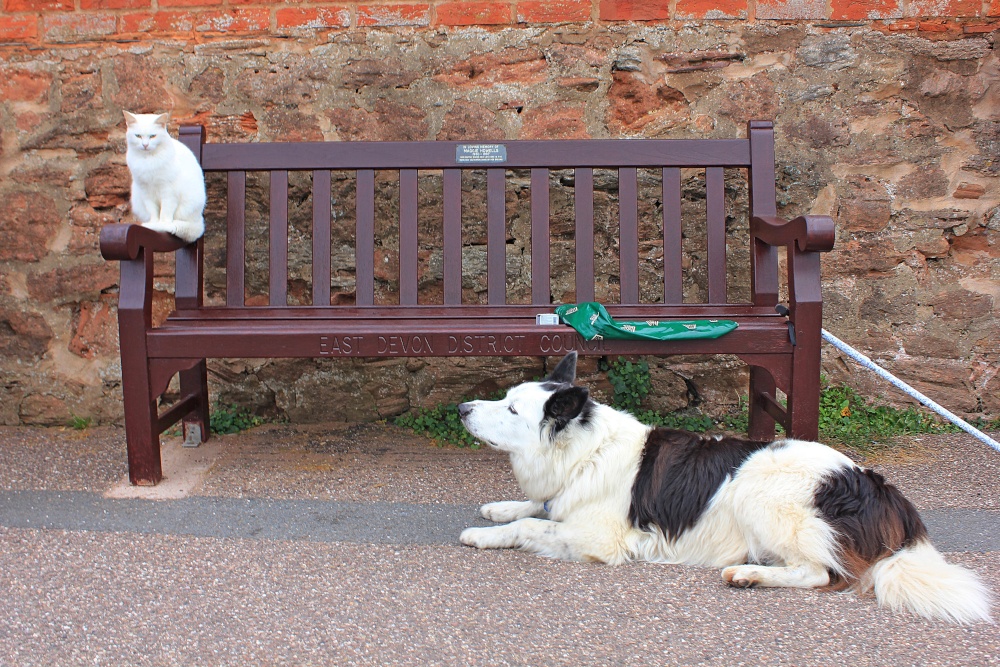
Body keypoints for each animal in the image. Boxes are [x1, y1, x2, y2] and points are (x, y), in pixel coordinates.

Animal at [125, 111, 207, 244]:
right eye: (138, 136)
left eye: (153, 136)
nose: (145, 145)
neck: (148, 160)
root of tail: (199, 221)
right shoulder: (146, 192)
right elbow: (153, 211)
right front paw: (153, 224)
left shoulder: (168, 192)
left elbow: (165, 212)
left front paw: (162, 225)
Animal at [458, 354, 992, 628]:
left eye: (511, 410)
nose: (463, 408)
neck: (583, 450)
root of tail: (879, 489)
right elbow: (532, 506)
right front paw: (498, 508)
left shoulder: (599, 538)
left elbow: (533, 525)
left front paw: (485, 535)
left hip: (758, 491)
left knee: (820, 573)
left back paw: (749, 575)